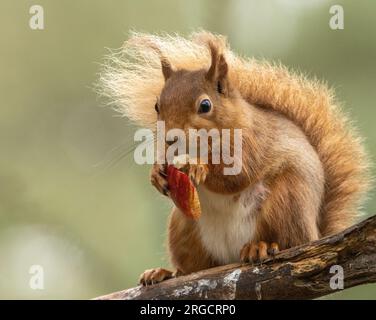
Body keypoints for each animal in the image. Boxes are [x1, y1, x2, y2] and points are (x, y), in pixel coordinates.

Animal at [98, 30, 368, 284]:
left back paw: (261, 247)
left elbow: (237, 175)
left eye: (205, 105)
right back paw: (163, 273)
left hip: (287, 200)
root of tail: (316, 233)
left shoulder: (253, 144)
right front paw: (156, 174)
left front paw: (197, 167)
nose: (170, 139)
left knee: (290, 241)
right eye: (157, 106)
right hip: (183, 228)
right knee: (193, 269)